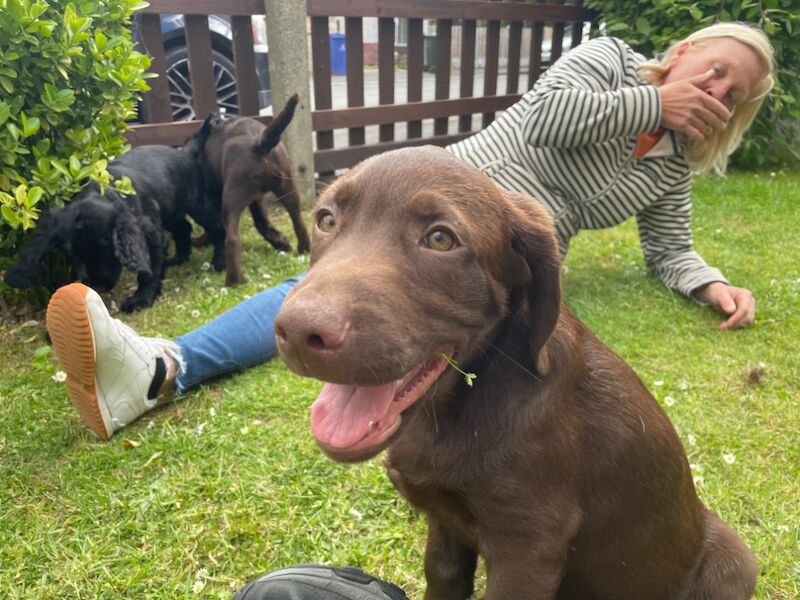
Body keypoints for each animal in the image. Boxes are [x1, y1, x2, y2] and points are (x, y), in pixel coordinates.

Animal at [4, 120, 217, 312]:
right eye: (73, 256)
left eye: (106, 250)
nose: (98, 286)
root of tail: (184, 150)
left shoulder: (151, 236)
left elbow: (149, 270)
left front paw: (140, 300)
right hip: (171, 210)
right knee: (183, 227)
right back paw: (179, 258)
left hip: (199, 205)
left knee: (216, 227)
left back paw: (219, 263)